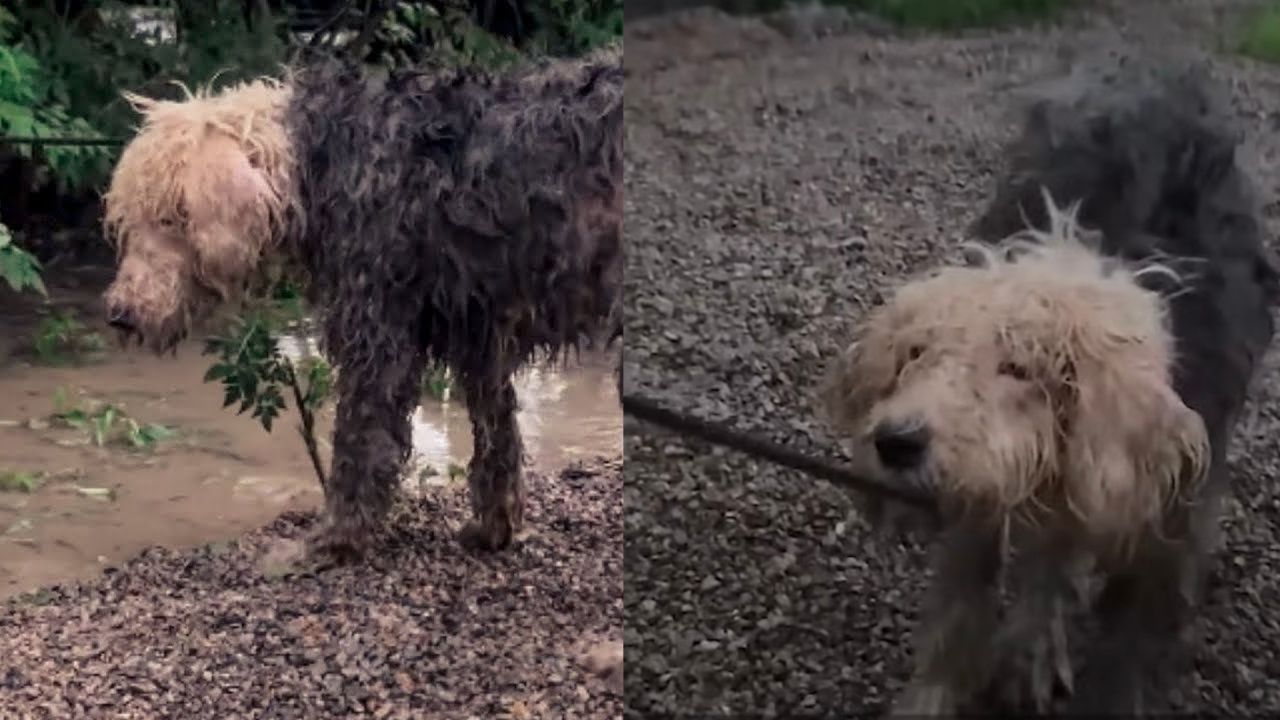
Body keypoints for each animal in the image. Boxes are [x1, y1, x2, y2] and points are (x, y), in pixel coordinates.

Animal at [98, 47, 619, 556]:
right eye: (129, 221)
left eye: (170, 218)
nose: (120, 315)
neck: (321, 165)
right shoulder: (478, 333)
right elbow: (496, 434)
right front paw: (494, 527)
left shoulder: (378, 335)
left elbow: (359, 442)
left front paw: (334, 538)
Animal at [824, 54, 1274, 712]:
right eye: (916, 353)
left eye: (1020, 368)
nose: (896, 443)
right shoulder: (987, 484)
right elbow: (964, 603)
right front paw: (936, 696)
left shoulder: (1166, 535)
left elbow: (1124, 658)